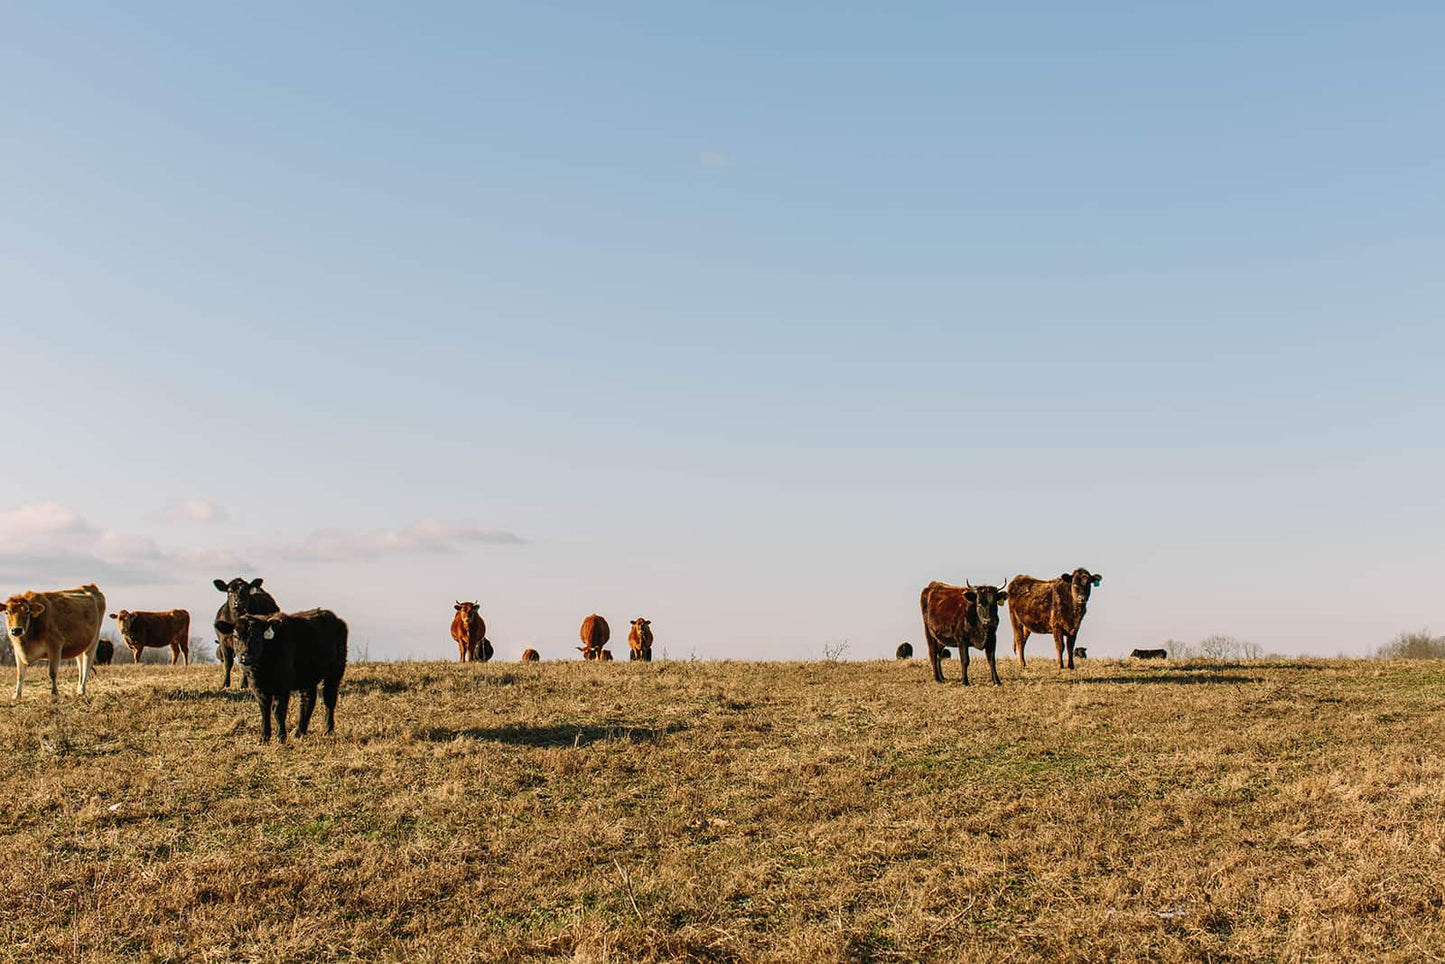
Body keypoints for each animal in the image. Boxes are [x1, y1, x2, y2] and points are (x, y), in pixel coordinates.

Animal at [215, 609, 348, 745]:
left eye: (257, 637)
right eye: (236, 636)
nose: (245, 657)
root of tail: (333, 617)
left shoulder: (283, 685)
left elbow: (278, 711)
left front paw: (281, 737)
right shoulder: (257, 687)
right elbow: (265, 710)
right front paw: (264, 737)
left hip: (335, 670)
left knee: (329, 699)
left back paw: (328, 730)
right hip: (308, 677)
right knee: (308, 700)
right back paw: (300, 732)